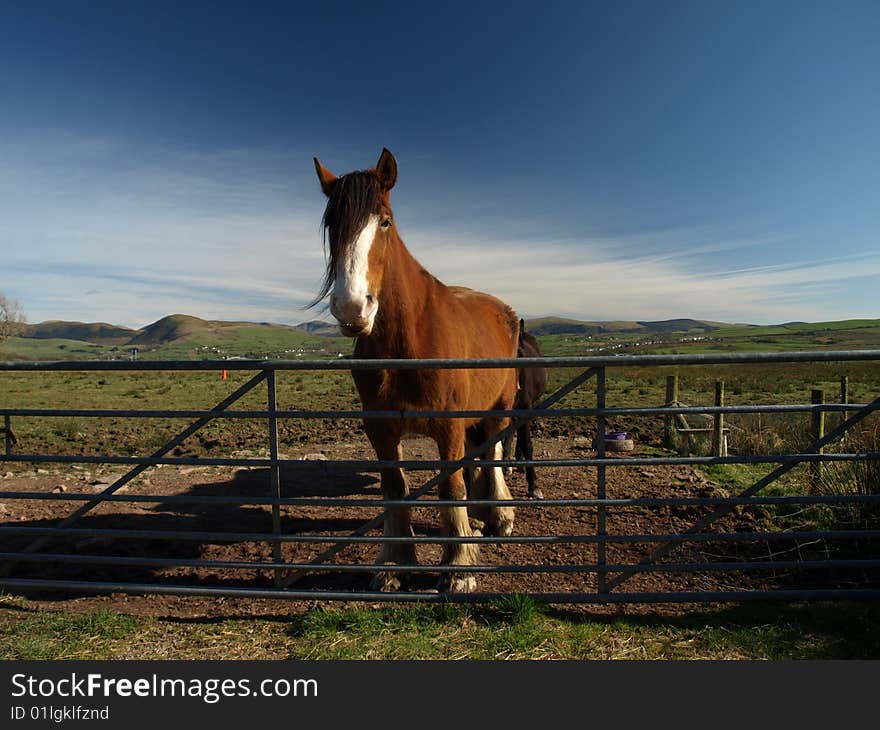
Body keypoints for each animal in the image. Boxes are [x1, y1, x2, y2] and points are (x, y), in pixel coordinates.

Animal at [312, 148, 520, 592]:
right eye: (332, 225)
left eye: (385, 222)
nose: (352, 308)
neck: (407, 346)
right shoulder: (381, 429)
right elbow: (395, 488)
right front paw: (395, 564)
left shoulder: (448, 426)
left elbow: (450, 487)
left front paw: (458, 567)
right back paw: (481, 517)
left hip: (499, 406)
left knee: (493, 453)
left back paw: (498, 515)